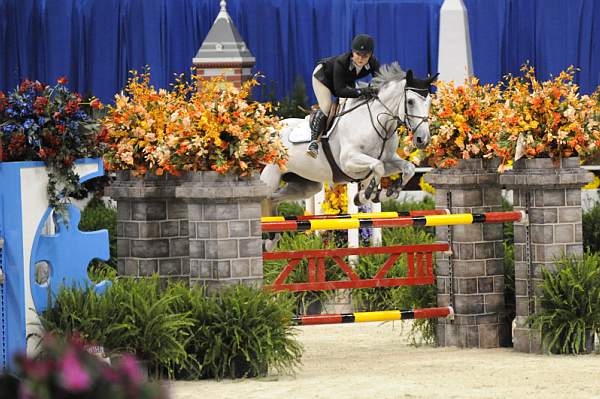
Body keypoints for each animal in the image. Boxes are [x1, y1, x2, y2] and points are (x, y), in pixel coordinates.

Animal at [260, 62, 434, 212]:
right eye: (410, 101)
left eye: (429, 103)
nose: (423, 139)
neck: (377, 124)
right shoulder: (348, 162)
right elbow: (378, 166)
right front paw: (363, 196)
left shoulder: (388, 159)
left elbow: (408, 168)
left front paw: (387, 193)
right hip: (269, 177)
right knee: (265, 198)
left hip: (306, 184)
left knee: (273, 200)